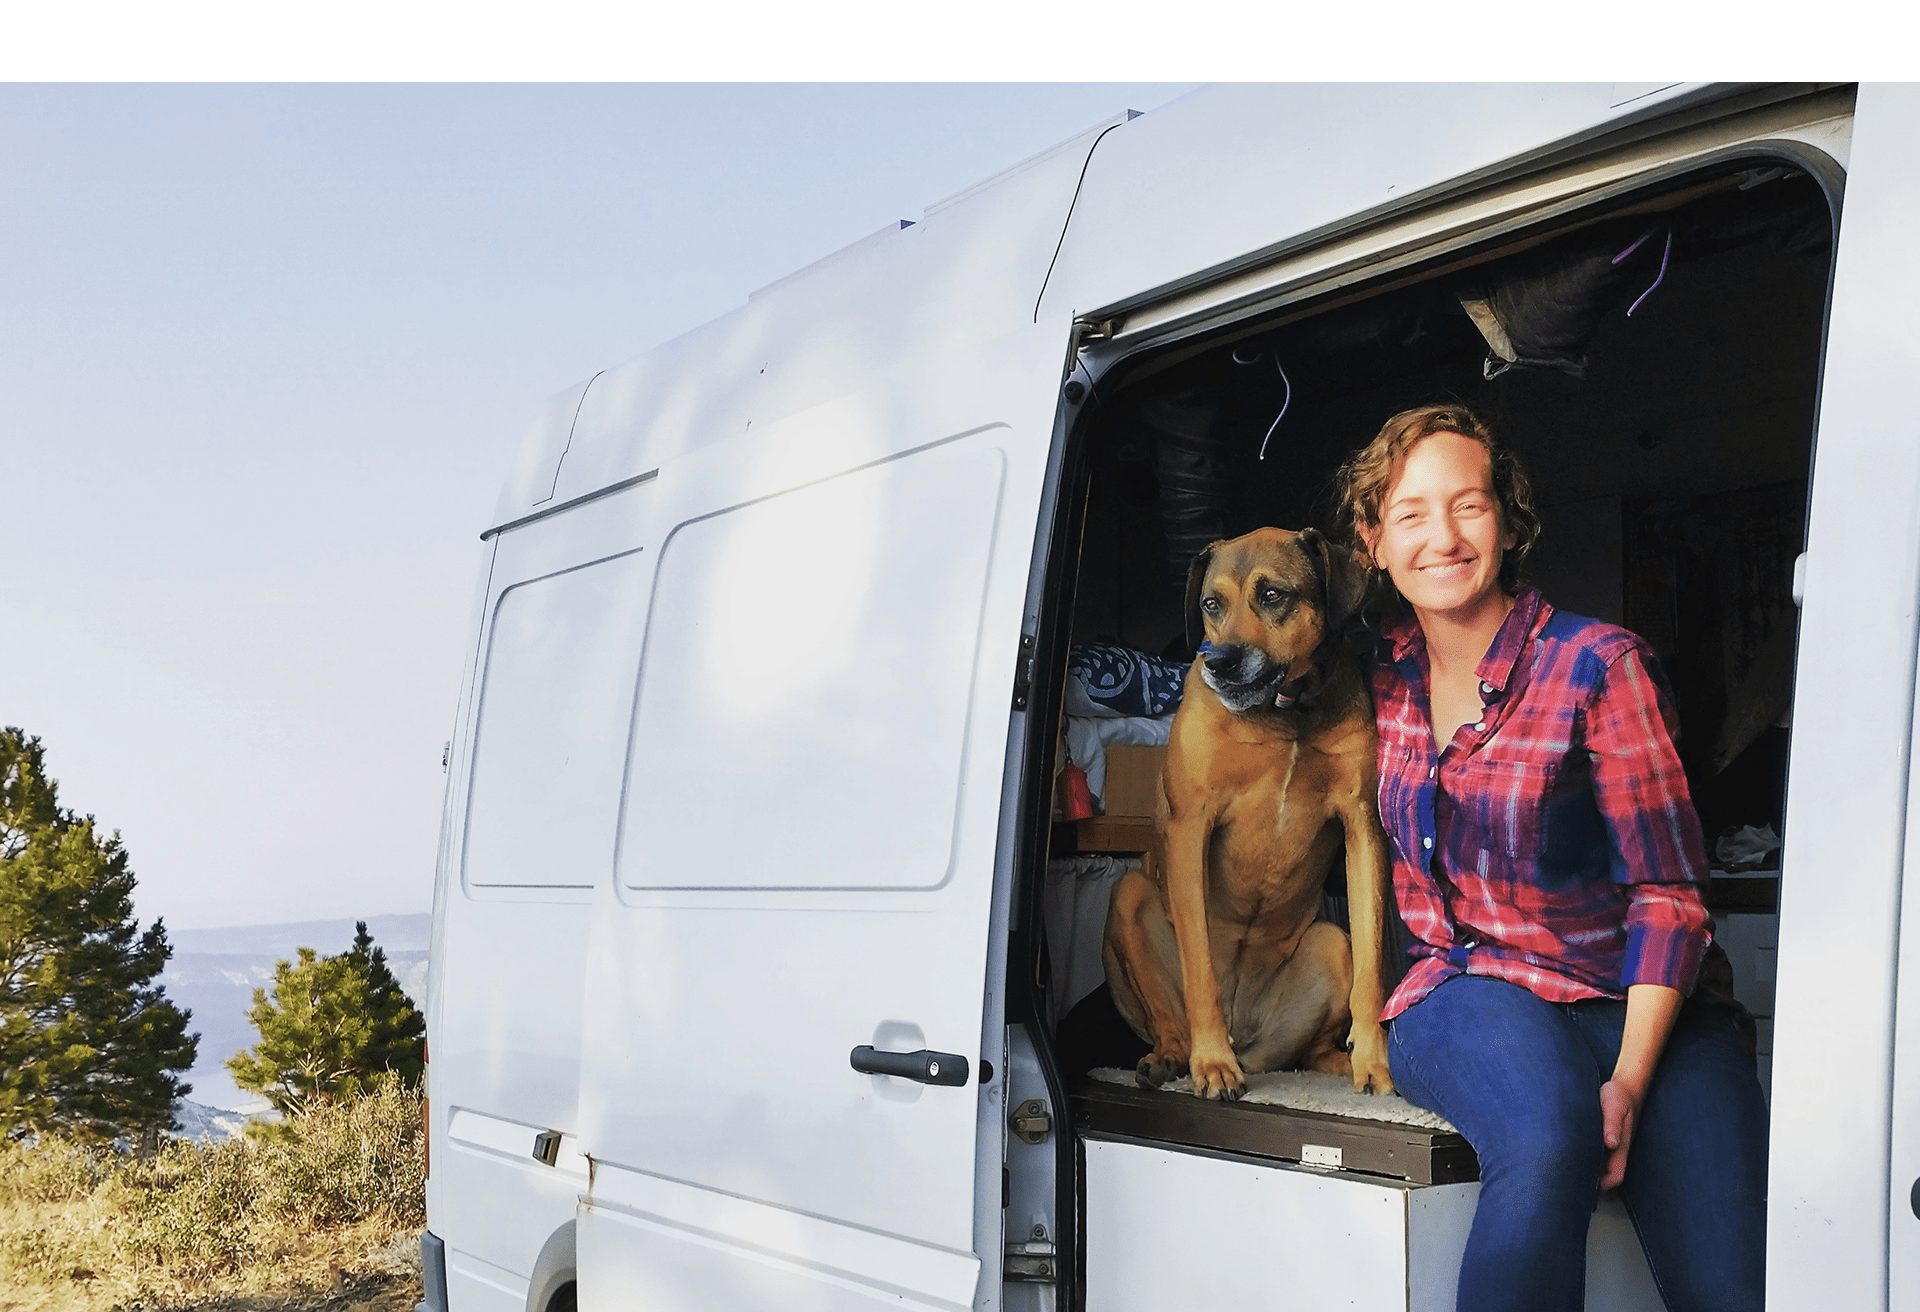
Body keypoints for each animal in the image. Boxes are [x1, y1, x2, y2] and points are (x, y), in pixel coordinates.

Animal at [1098, 530, 1397, 1106]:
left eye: (1273, 595)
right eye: (1211, 604)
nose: (1220, 661)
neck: (1285, 713)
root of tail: (1250, 1037)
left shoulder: (1362, 827)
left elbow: (1373, 970)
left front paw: (1375, 1064)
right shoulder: (1190, 826)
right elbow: (1199, 969)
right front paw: (1212, 1066)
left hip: (1332, 944)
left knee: (1309, 1045)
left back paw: (1333, 1061)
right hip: (1128, 897)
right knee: (1170, 1018)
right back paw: (1173, 1058)